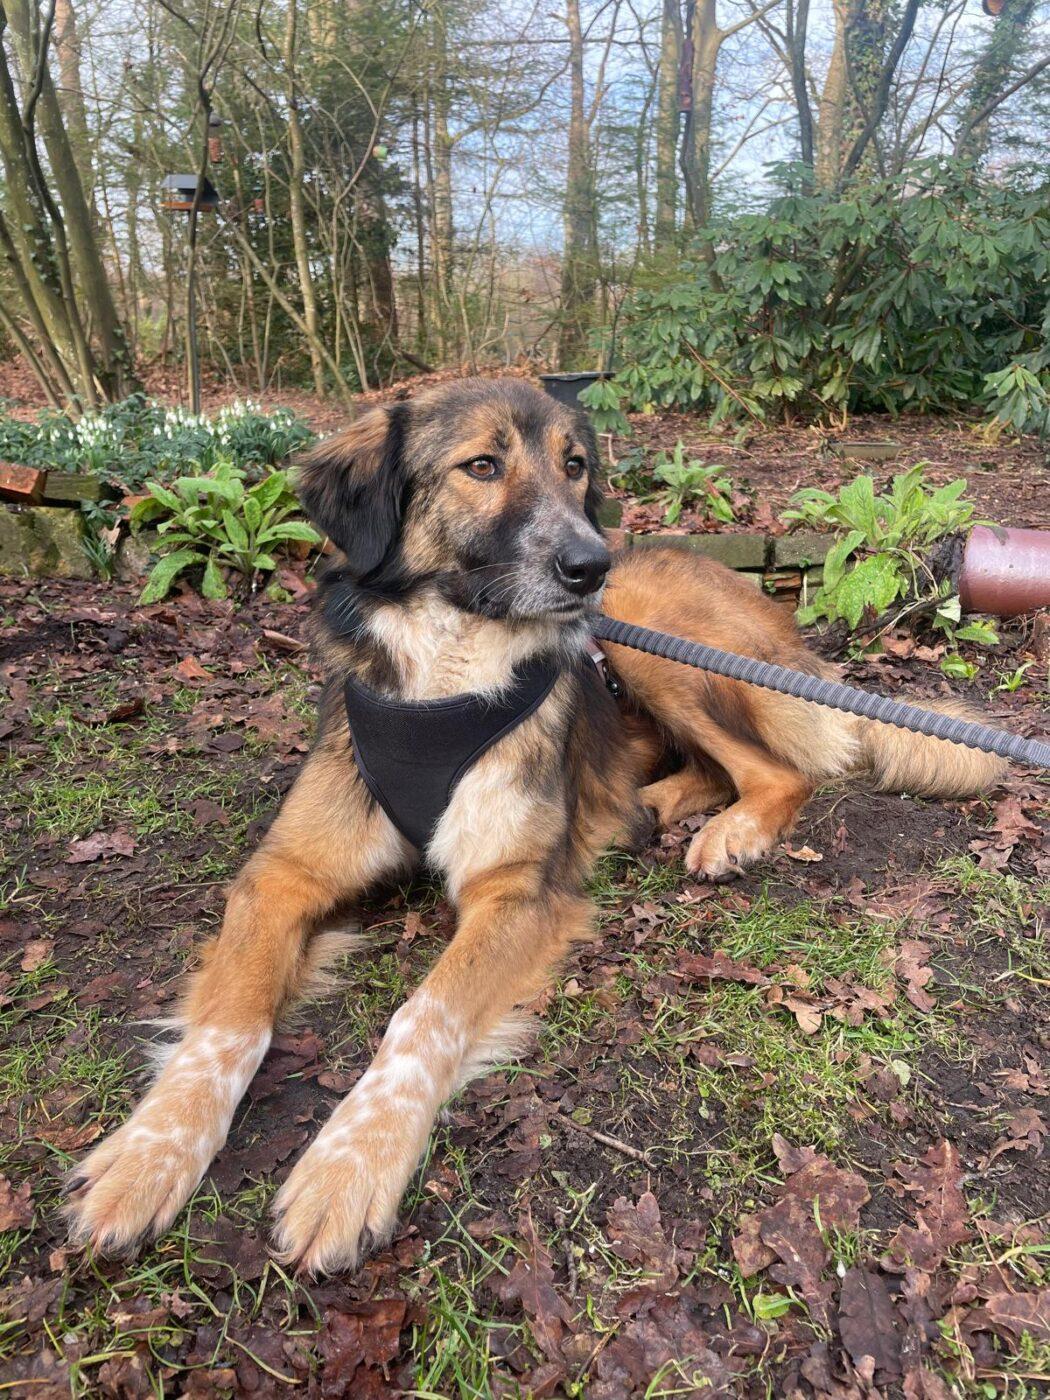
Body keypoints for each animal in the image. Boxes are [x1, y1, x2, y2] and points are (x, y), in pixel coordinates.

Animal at [65, 377, 1004, 1274]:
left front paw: (348, 1166)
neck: (449, 669)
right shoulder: (284, 873)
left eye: (575, 466)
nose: (592, 565)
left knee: (780, 770)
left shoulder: (516, 892)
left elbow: (422, 1020)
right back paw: (648, 808)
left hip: (653, 648)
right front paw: (146, 1157)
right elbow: (228, 1023)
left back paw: (728, 833)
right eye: (482, 466)